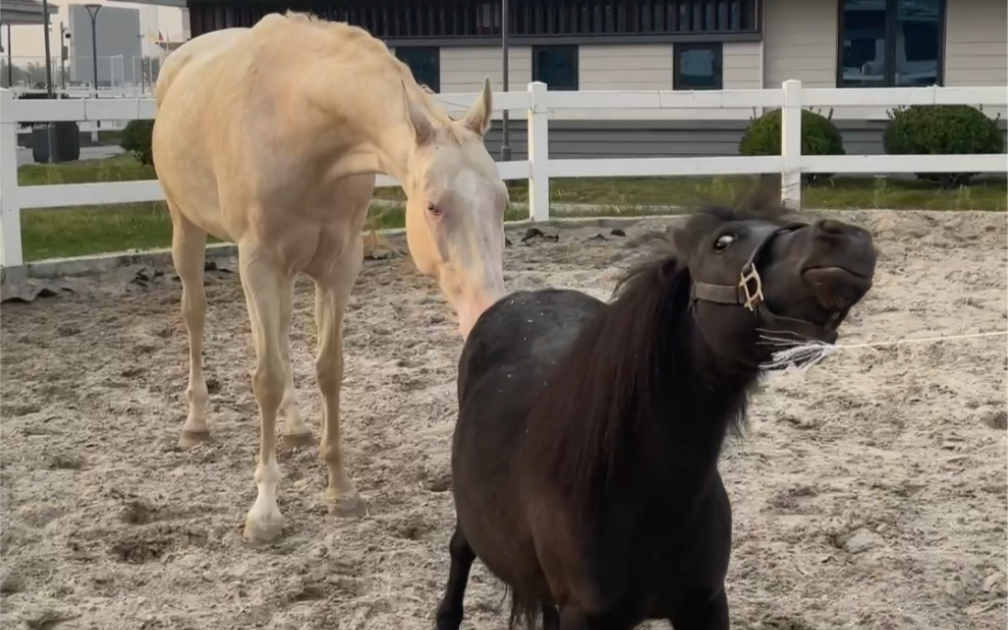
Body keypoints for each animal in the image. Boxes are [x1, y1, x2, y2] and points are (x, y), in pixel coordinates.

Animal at [152, 12, 508, 544]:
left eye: (502, 200)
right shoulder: (258, 262)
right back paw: (196, 423)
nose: (488, 312)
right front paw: (264, 511)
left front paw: (340, 490)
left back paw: (296, 426)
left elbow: (329, 370)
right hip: (187, 228)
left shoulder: (339, 267)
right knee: (195, 315)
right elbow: (266, 378)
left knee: (280, 335)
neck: (301, 120)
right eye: (432, 206)